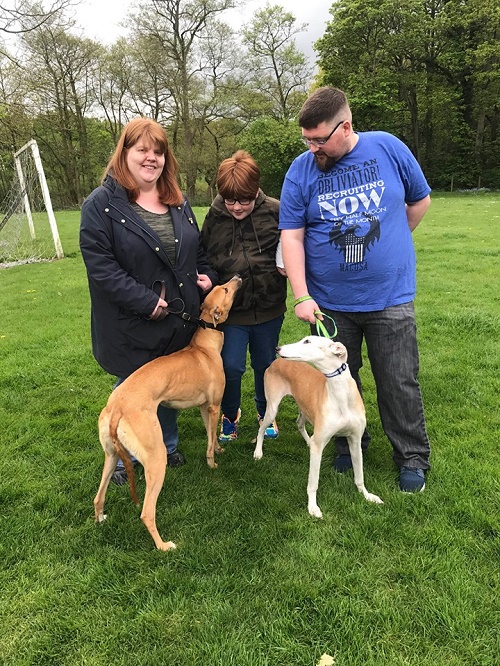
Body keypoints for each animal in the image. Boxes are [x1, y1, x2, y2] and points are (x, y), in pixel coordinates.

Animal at [94, 272, 243, 548]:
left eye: (219, 286)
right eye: (226, 290)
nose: (238, 276)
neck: (204, 346)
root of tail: (116, 407)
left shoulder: (204, 408)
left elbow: (211, 435)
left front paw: (218, 448)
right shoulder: (214, 406)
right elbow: (209, 442)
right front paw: (213, 463)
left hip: (110, 455)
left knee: (98, 497)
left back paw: (100, 519)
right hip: (155, 457)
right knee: (146, 513)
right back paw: (163, 546)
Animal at [254, 334, 382, 516]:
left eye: (307, 341)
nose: (278, 348)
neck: (341, 396)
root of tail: (275, 362)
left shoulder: (355, 440)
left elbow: (359, 476)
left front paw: (367, 495)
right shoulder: (320, 444)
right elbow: (313, 483)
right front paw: (313, 507)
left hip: (304, 408)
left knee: (299, 424)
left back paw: (307, 441)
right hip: (272, 408)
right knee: (261, 428)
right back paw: (258, 453)